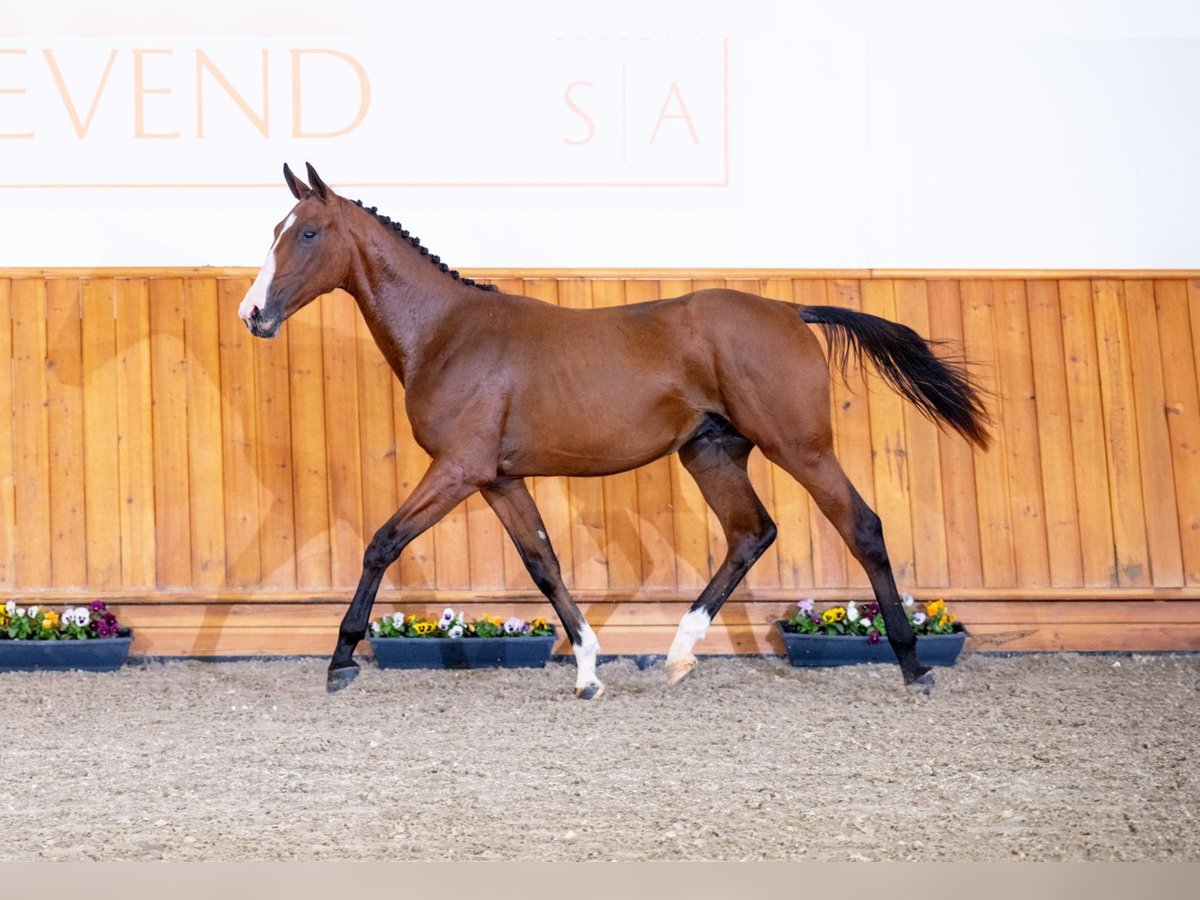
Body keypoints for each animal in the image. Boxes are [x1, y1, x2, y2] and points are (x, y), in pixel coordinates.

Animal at [236, 164, 984, 696]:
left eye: (306, 232)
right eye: (275, 228)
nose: (252, 315)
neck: (447, 333)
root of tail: (790, 311)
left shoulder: (457, 470)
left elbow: (382, 543)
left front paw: (340, 660)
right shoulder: (498, 479)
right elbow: (543, 564)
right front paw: (589, 670)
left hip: (800, 447)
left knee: (862, 527)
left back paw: (915, 668)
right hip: (711, 453)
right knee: (752, 533)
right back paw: (678, 657)